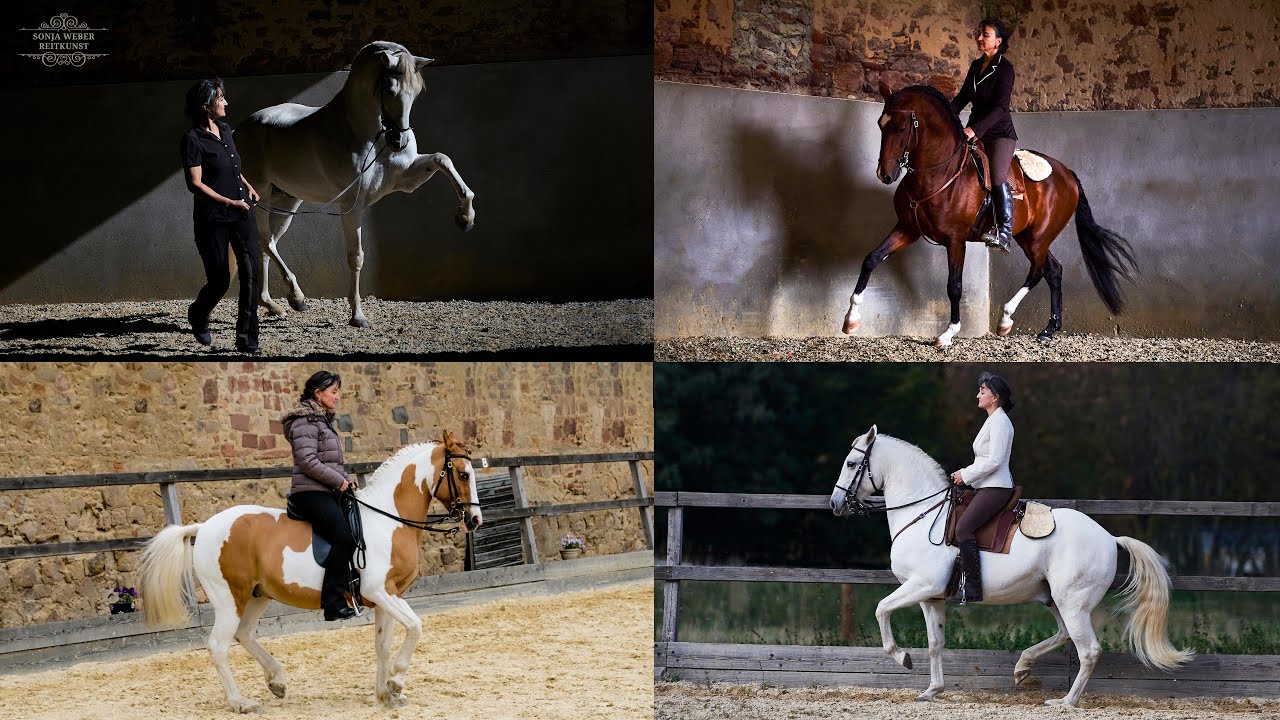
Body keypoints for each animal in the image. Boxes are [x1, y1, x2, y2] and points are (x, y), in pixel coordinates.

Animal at [139, 431, 483, 712]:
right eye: (463, 474)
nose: (475, 520)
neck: (389, 519)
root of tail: (204, 527)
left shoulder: (388, 596)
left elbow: (383, 645)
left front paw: (386, 695)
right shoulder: (379, 591)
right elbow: (416, 626)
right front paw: (396, 682)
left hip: (257, 595)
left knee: (243, 634)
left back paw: (276, 680)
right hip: (229, 598)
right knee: (218, 646)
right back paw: (240, 702)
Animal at [234, 40, 477, 328]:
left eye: (417, 92)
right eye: (389, 89)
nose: (399, 141)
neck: (364, 134)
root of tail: (239, 130)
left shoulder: (406, 179)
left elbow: (442, 159)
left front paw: (465, 218)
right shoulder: (353, 206)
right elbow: (356, 257)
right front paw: (358, 315)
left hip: (285, 203)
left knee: (266, 245)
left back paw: (273, 305)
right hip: (259, 197)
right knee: (265, 242)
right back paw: (296, 298)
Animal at [828, 426, 1191, 707]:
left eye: (851, 463)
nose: (834, 504)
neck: (923, 515)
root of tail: (1108, 537)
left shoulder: (922, 585)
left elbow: (881, 609)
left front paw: (901, 657)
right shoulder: (931, 598)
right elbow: (935, 643)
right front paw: (932, 690)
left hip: (1072, 602)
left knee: (1088, 650)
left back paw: (1065, 702)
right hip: (1054, 599)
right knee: (1064, 634)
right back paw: (1022, 668)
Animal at [842, 82, 1137, 346]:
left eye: (902, 127)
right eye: (880, 125)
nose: (885, 174)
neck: (939, 173)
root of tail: (1068, 175)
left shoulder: (955, 240)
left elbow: (954, 286)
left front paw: (948, 334)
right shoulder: (907, 229)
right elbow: (871, 259)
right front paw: (851, 320)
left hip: (1039, 237)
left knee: (1038, 270)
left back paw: (1006, 319)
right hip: (1027, 237)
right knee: (1053, 270)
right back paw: (1048, 330)